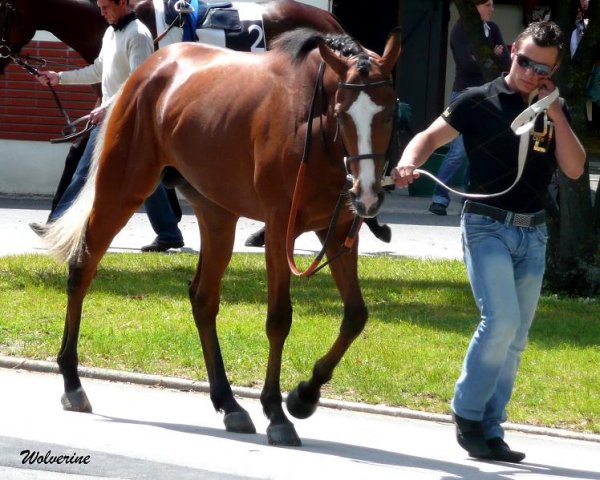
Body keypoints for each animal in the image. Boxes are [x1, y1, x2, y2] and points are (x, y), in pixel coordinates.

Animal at [42, 27, 404, 446]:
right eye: (343, 112)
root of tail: (150, 69)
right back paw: (72, 382)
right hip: (122, 190)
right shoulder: (279, 229)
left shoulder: (339, 231)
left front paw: (304, 395)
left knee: (203, 298)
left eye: (389, 112)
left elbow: (356, 315)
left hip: (217, 214)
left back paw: (228, 403)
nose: (368, 194)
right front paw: (277, 411)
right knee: (82, 268)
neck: (313, 127)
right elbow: (279, 319)